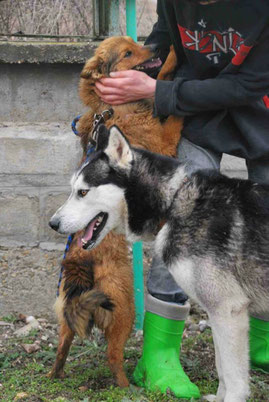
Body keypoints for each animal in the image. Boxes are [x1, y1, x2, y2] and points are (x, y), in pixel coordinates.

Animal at [49, 36, 181, 388]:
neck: (110, 109)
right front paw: (174, 62)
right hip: (124, 310)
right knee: (112, 356)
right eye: (128, 53)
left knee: (63, 343)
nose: (155, 46)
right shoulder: (165, 142)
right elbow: (171, 106)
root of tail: (79, 263)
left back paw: (56, 375)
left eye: (135, 42)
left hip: (66, 309)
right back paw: (126, 386)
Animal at [50, 124, 268, 400]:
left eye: (83, 192)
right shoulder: (220, 312)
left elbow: (233, 376)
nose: (53, 223)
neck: (174, 202)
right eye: (73, 190)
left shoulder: (228, 309)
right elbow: (222, 368)